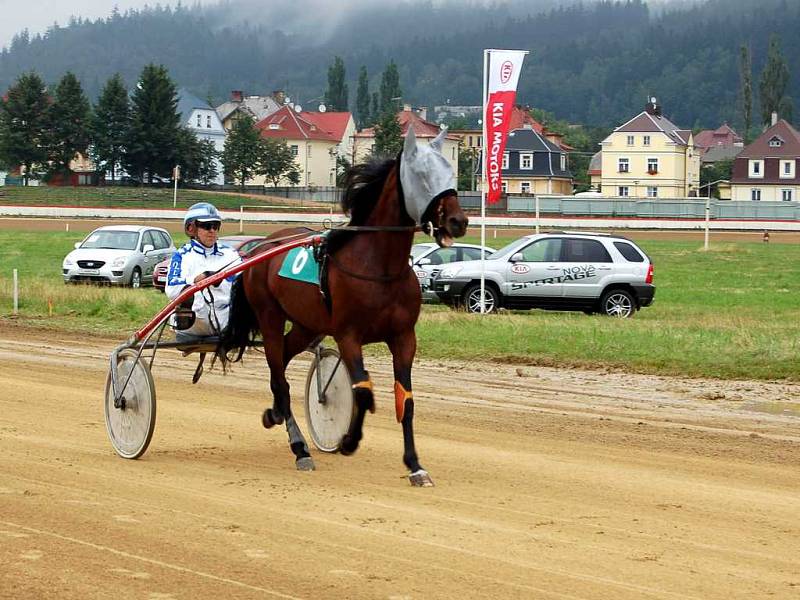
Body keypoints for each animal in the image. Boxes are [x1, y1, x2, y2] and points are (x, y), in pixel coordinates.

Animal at [222, 129, 466, 486]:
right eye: (422, 175)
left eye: (451, 173)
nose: (458, 221)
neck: (379, 267)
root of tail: (261, 247)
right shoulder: (348, 336)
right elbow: (363, 391)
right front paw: (349, 441)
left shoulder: (404, 337)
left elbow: (405, 399)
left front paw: (415, 465)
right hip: (269, 316)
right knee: (279, 375)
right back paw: (300, 448)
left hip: (306, 324)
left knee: (282, 364)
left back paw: (275, 412)